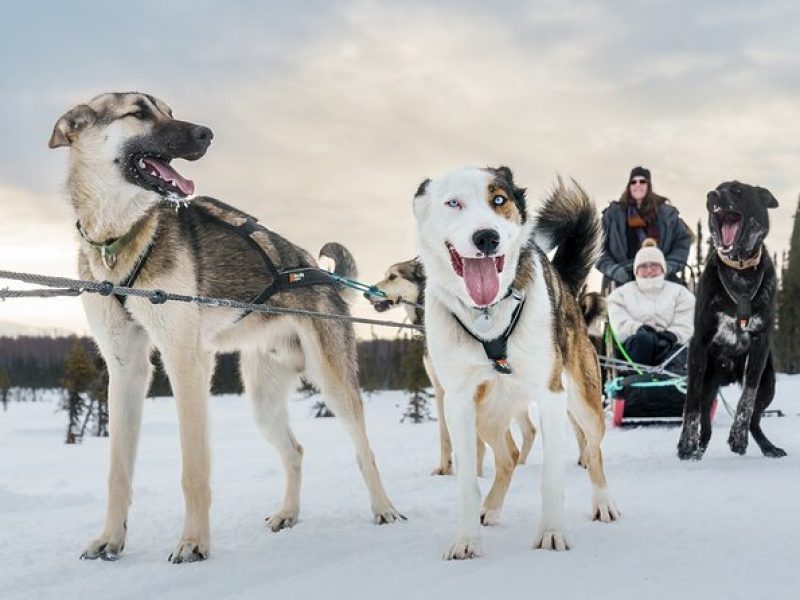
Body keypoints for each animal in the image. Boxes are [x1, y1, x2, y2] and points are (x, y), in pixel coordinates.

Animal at [47, 90, 404, 564]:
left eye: (170, 111)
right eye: (139, 112)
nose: (207, 134)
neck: (118, 239)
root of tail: (321, 274)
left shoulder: (186, 361)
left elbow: (193, 469)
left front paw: (193, 542)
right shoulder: (125, 368)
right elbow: (118, 471)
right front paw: (110, 539)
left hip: (333, 380)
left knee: (365, 450)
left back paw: (384, 509)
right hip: (263, 401)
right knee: (295, 451)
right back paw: (287, 514)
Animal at [370, 260, 536, 476]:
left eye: (393, 276)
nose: (368, 293)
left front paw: (477, 473)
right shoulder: (442, 388)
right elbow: (444, 433)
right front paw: (445, 468)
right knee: (529, 431)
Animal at [412, 165, 620, 556]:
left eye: (499, 199)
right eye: (453, 203)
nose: (486, 238)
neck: (487, 316)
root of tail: (567, 288)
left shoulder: (551, 397)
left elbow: (552, 478)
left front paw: (552, 532)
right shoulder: (457, 401)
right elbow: (467, 482)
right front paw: (466, 540)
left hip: (583, 404)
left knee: (595, 451)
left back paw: (603, 504)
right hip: (486, 415)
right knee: (507, 457)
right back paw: (490, 507)